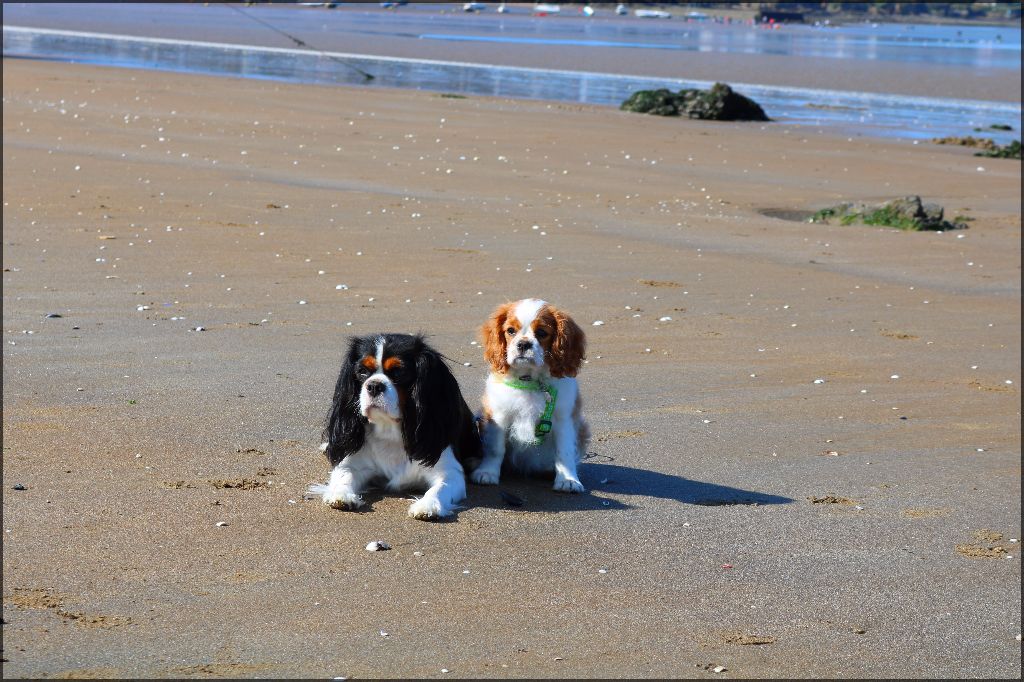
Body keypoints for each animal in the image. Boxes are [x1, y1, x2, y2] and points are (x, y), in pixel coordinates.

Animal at [307, 333, 481, 520]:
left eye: (399, 372)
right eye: (362, 371)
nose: (374, 385)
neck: (389, 429)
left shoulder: (449, 472)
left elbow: (440, 488)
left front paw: (427, 506)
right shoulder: (351, 463)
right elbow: (343, 475)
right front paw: (341, 495)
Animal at [472, 298, 590, 493]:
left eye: (542, 333)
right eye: (510, 331)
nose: (523, 344)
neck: (529, 381)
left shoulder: (564, 420)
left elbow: (564, 452)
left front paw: (568, 480)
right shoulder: (498, 416)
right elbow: (495, 448)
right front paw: (487, 472)